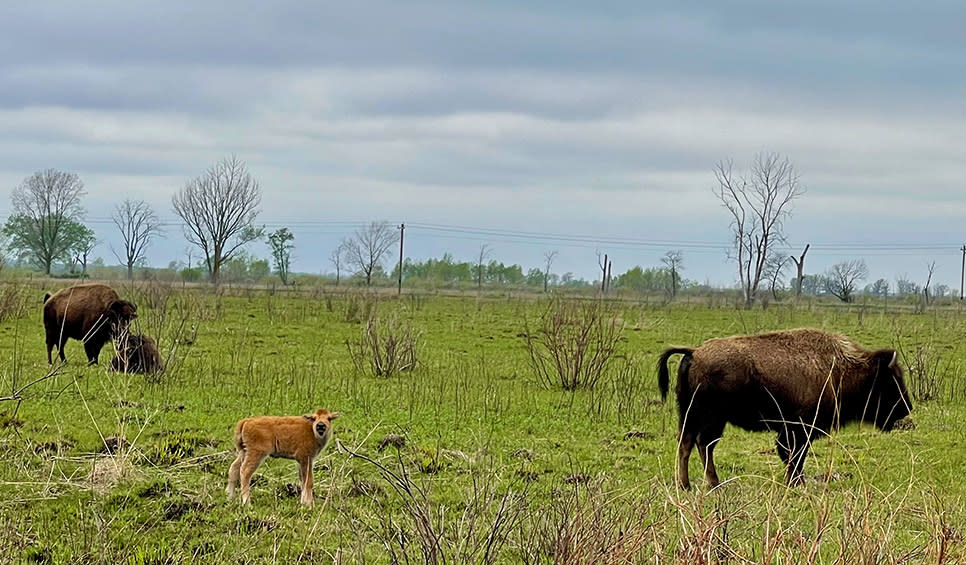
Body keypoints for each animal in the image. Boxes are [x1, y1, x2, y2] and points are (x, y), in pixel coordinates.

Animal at [656, 328, 916, 486]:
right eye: (891, 381)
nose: (907, 407)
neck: (842, 369)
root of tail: (694, 352)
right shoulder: (799, 429)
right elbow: (793, 455)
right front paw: (796, 482)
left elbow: (793, 455)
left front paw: (795, 481)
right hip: (711, 418)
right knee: (704, 444)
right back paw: (712, 483)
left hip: (690, 415)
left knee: (687, 443)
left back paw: (687, 485)